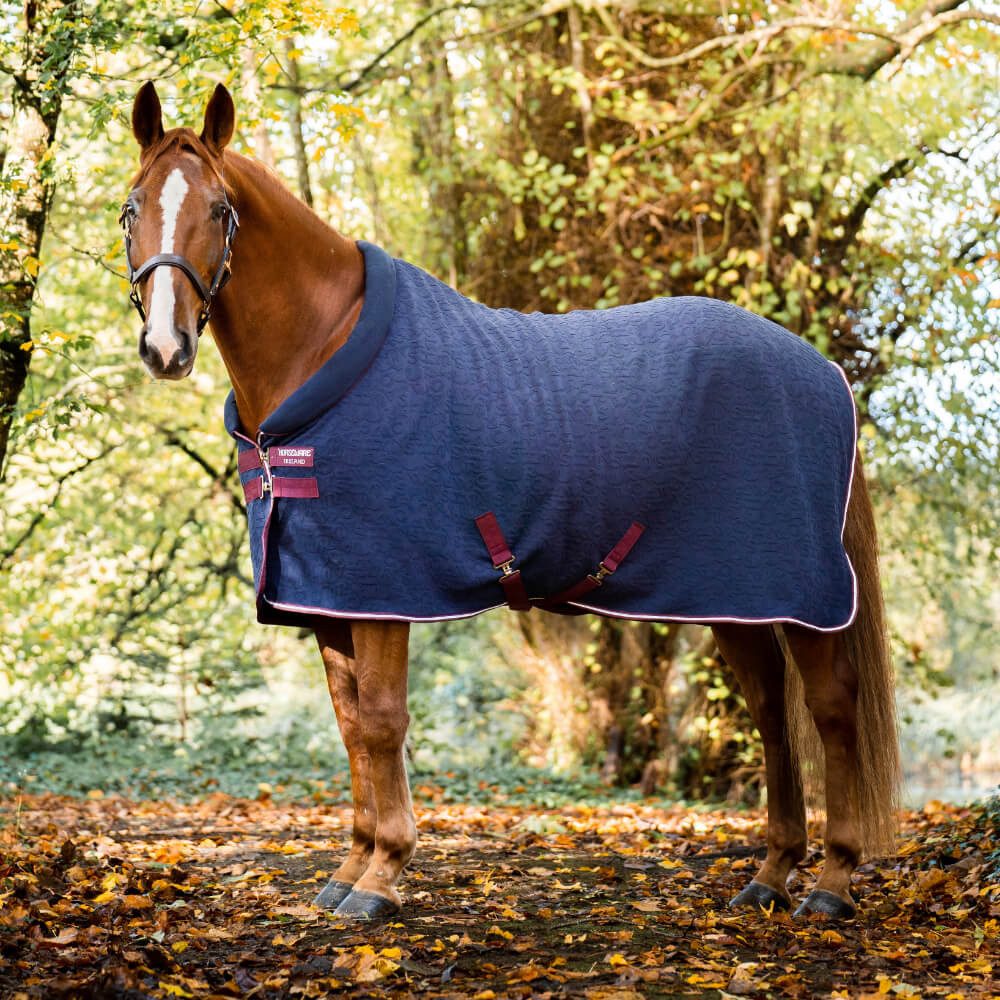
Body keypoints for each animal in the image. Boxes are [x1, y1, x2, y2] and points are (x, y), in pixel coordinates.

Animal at [121, 81, 900, 922]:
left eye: (220, 210)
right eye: (131, 209)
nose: (165, 347)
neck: (322, 354)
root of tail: (822, 370)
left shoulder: (382, 592)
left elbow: (384, 722)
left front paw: (383, 876)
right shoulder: (323, 597)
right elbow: (352, 727)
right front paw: (349, 868)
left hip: (800, 596)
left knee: (830, 709)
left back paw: (830, 883)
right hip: (736, 599)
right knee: (769, 713)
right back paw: (769, 873)